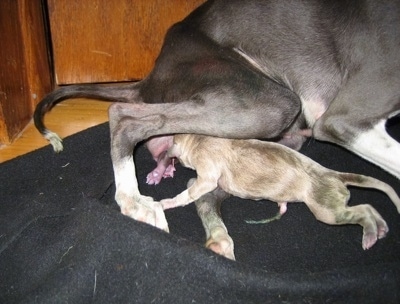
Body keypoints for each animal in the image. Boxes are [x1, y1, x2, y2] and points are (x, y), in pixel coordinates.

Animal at [35, 0, 400, 235]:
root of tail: (153, 73)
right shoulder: (346, 118)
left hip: (283, 130)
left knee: (208, 193)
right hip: (271, 104)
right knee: (125, 117)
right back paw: (135, 201)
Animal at [162, 134, 400, 251]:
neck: (198, 139)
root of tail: (334, 175)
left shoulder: (207, 173)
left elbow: (193, 191)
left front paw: (167, 202)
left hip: (328, 211)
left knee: (362, 211)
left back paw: (370, 236)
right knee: (368, 206)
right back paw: (381, 228)